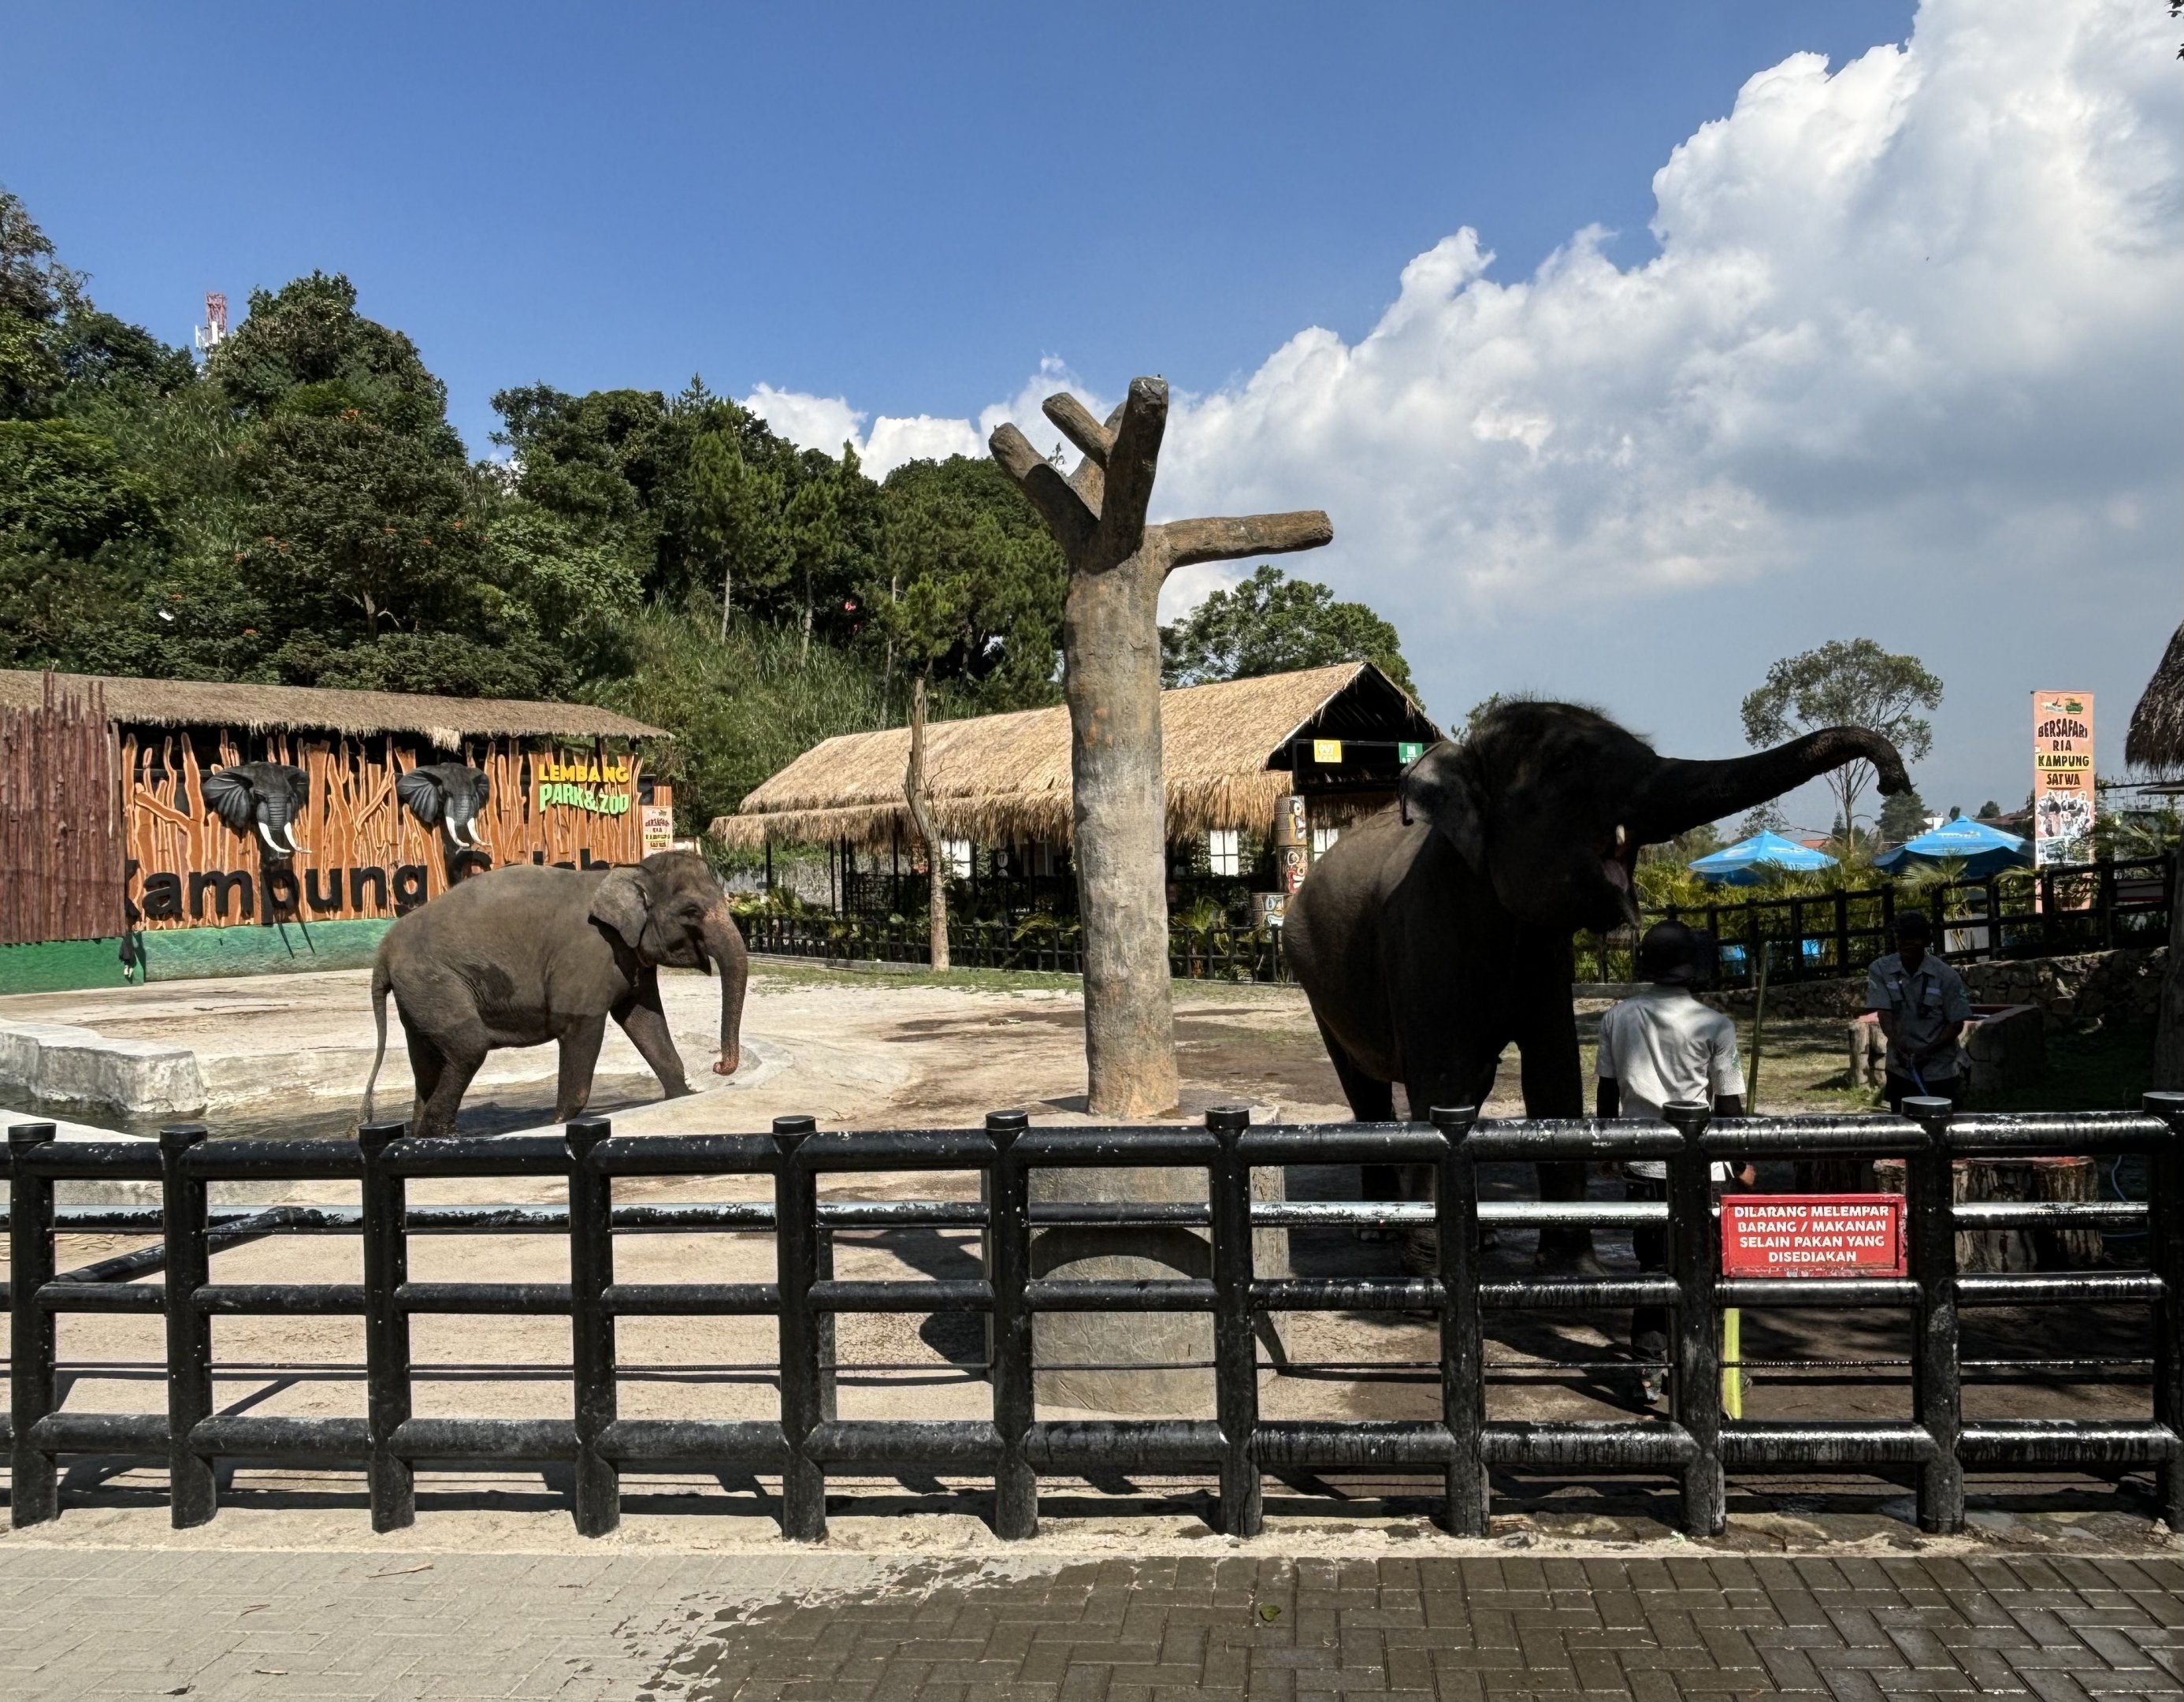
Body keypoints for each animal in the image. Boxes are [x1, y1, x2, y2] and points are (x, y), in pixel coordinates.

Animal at [363, 849, 750, 1138]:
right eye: (691, 911)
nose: (719, 1066)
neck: (622, 873)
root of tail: (382, 954)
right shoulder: (589, 953)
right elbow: (581, 1027)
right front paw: (561, 1123)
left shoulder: (628, 955)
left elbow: (644, 1021)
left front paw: (681, 1096)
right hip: (433, 981)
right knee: (468, 1047)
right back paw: (446, 1135)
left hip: (418, 995)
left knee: (427, 1064)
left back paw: (420, 1135)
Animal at [1283, 700, 1908, 1269]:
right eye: (1564, 763)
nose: (1893, 781)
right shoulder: (1421, 930)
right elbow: (1442, 1080)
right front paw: (1434, 1261)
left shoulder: (1543, 958)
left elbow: (1554, 1079)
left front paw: (1571, 1268)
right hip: (1313, 979)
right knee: (1369, 1092)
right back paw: (1379, 1230)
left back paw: (1476, 1237)